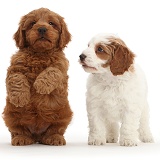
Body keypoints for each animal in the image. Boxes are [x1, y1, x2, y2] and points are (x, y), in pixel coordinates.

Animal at [2, 7, 72, 146]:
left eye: (51, 23)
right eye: (32, 23)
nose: (42, 29)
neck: (40, 53)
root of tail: (37, 135)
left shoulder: (61, 68)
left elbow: (52, 70)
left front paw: (40, 85)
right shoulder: (13, 69)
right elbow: (17, 78)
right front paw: (20, 97)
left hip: (64, 113)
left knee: (57, 129)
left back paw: (54, 138)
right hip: (10, 115)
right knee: (18, 129)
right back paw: (21, 138)